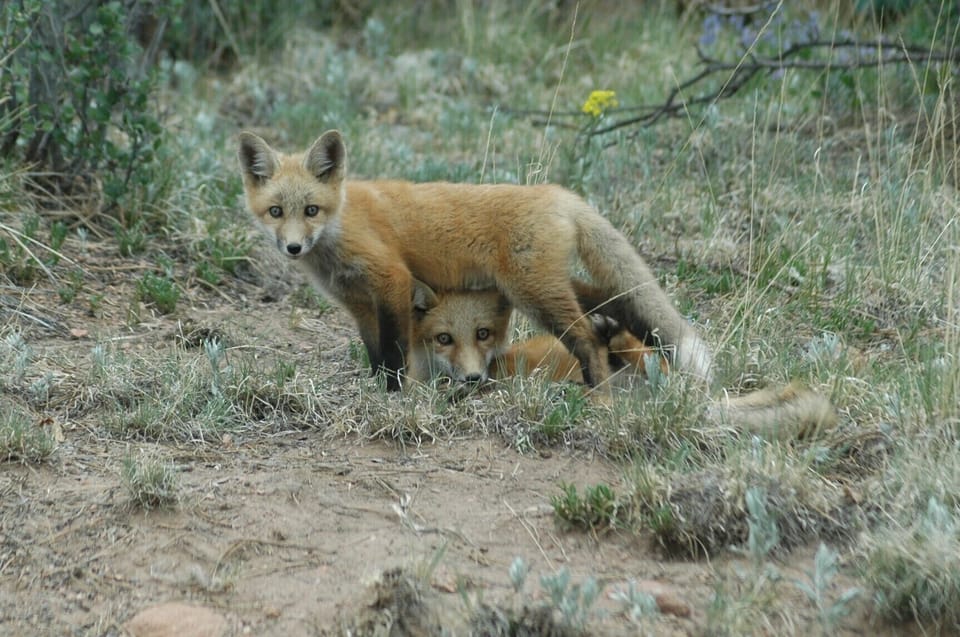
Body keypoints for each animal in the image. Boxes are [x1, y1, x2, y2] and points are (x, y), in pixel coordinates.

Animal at [238, 129, 712, 393]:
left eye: (311, 210)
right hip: (545, 286)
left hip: (535, 294)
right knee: (619, 300)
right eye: (276, 212)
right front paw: (377, 389)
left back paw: (598, 390)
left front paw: (394, 395)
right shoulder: (358, 303)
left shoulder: (391, 280)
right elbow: (375, 352)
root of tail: (556, 193)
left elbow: (394, 352)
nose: (293, 248)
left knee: (586, 338)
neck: (338, 227)